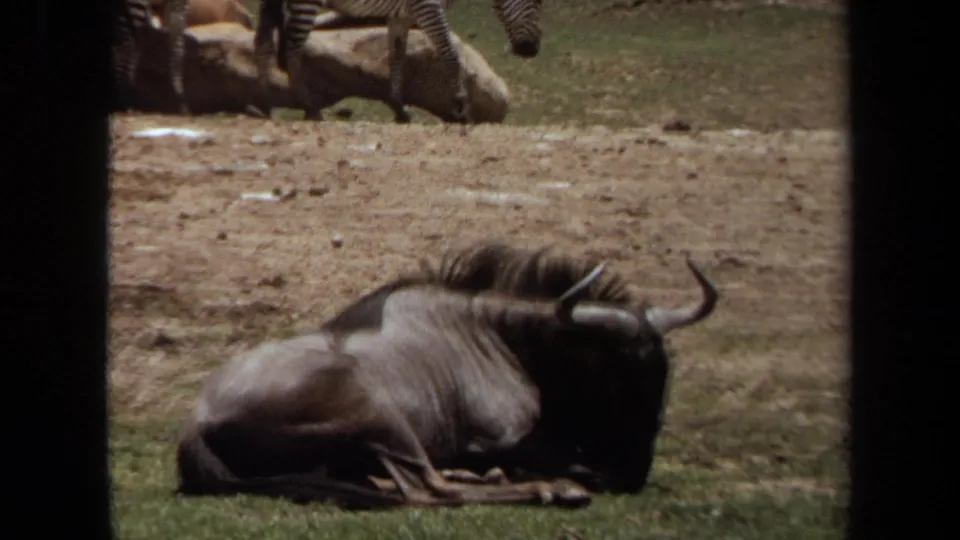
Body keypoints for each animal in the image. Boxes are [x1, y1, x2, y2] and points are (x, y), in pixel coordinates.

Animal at [254, 0, 543, 123]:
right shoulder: (429, 9)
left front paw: (399, 108)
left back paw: (265, 102)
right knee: (292, 48)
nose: (532, 51)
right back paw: (309, 107)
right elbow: (450, 55)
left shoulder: (401, 16)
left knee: (263, 42)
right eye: (537, 3)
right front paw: (462, 106)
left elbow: (397, 56)